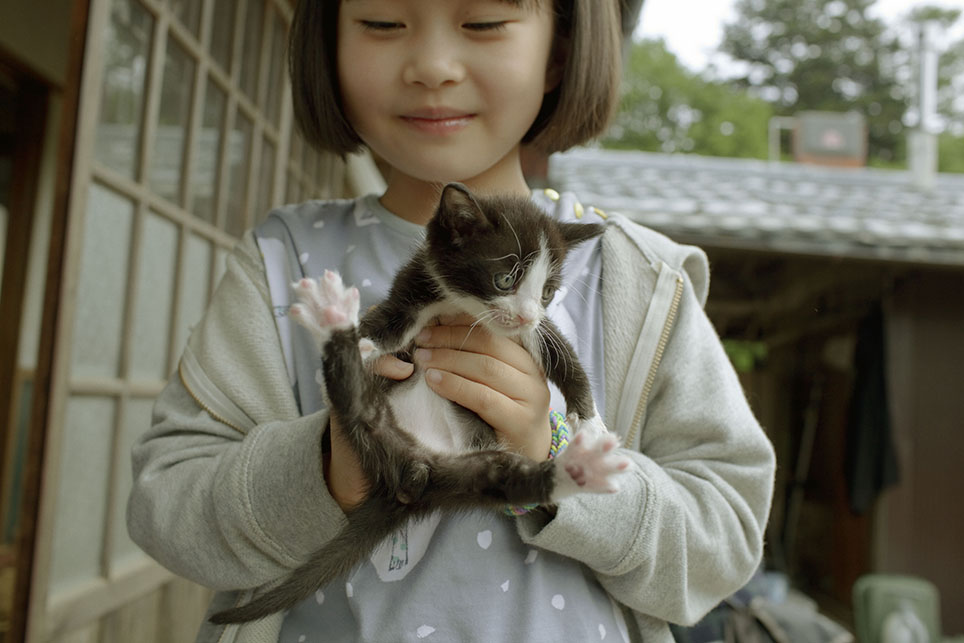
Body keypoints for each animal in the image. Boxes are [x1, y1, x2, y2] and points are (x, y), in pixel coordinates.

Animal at [209, 181, 632, 624]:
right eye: (504, 279)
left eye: (548, 292)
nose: (524, 316)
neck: (462, 307)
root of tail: (409, 474)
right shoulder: (416, 285)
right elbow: (391, 326)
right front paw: (366, 341)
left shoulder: (531, 331)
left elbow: (565, 359)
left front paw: (590, 423)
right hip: (372, 422)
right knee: (352, 396)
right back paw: (335, 325)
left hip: (467, 477)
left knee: (509, 481)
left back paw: (580, 468)